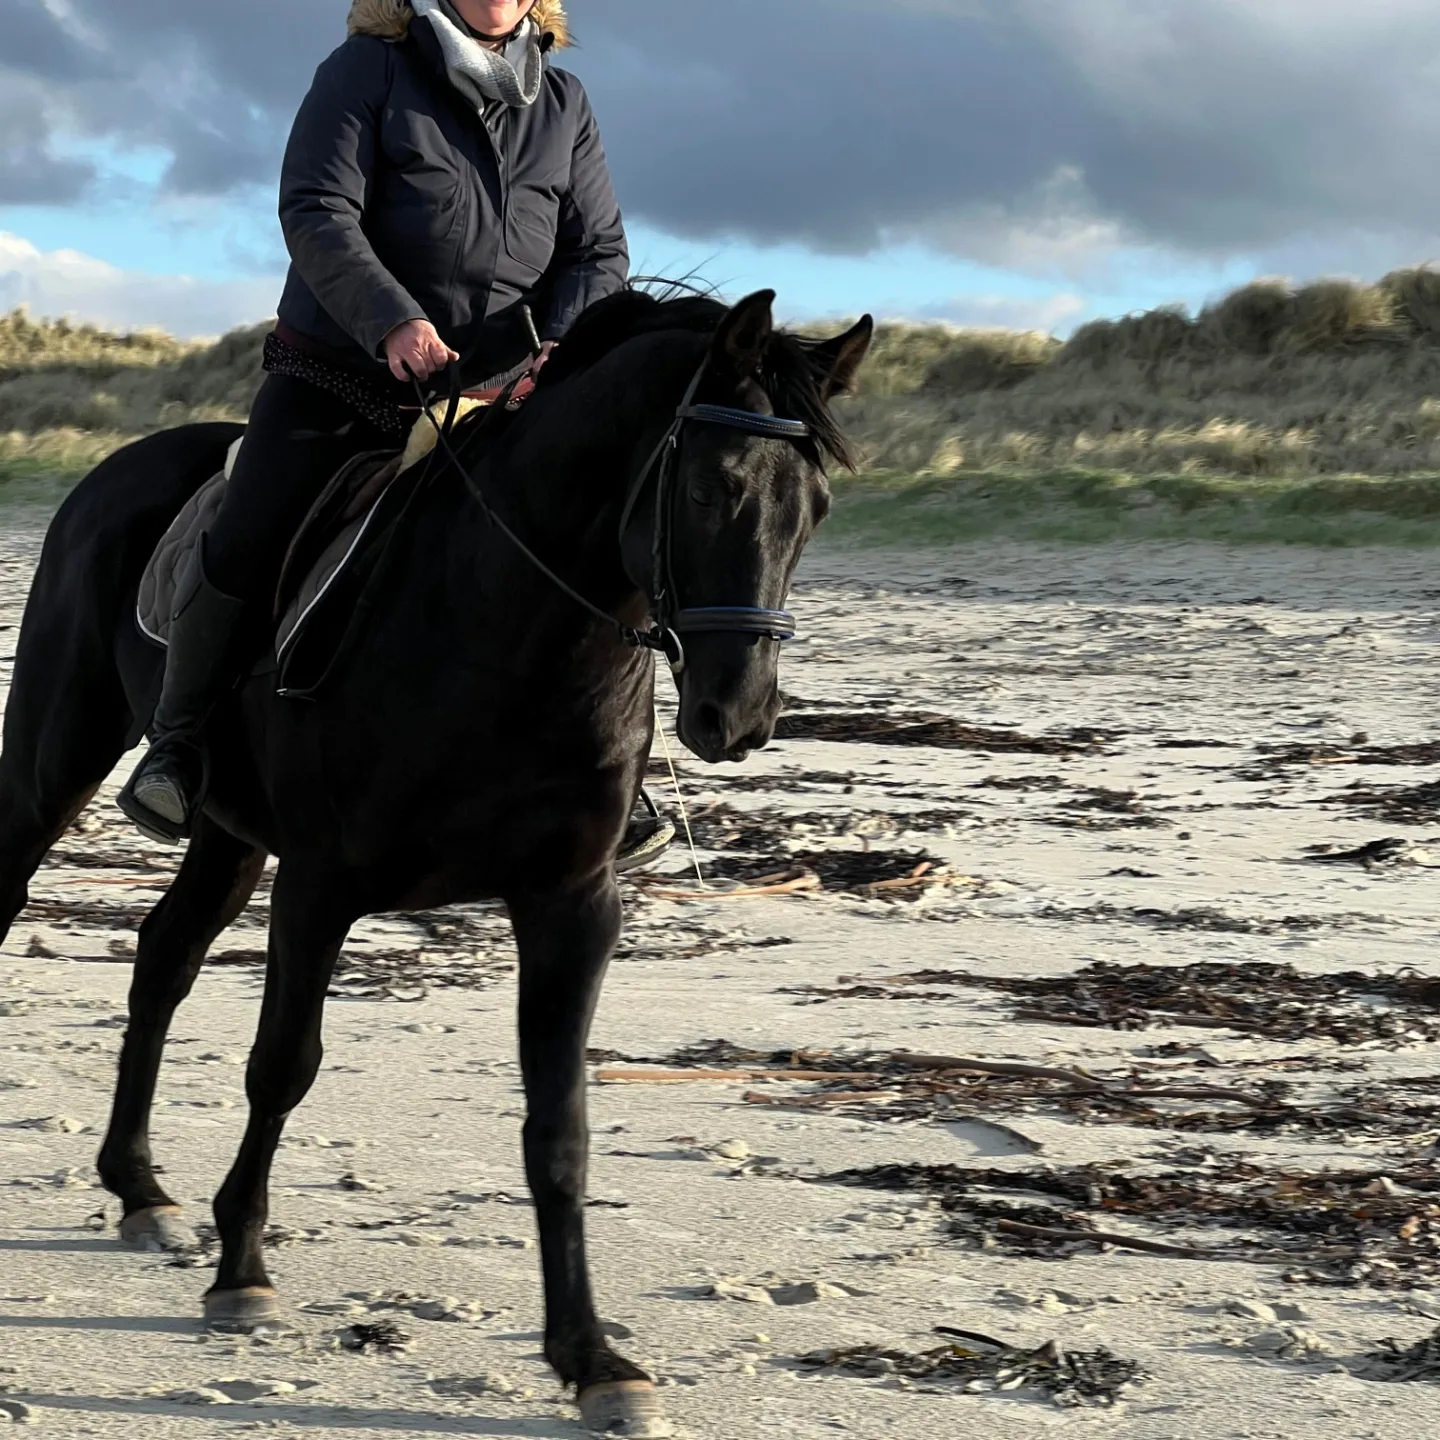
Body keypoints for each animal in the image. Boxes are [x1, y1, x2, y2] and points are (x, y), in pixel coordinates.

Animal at [0, 287, 873, 1436]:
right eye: (708, 485)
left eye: (815, 506)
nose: (738, 716)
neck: (507, 636)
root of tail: (116, 468)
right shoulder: (319, 884)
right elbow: (283, 1067)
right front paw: (243, 1272)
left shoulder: (571, 905)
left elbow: (559, 1127)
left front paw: (593, 1359)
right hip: (55, 756)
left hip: (229, 834)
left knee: (163, 958)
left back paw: (140, 1192)